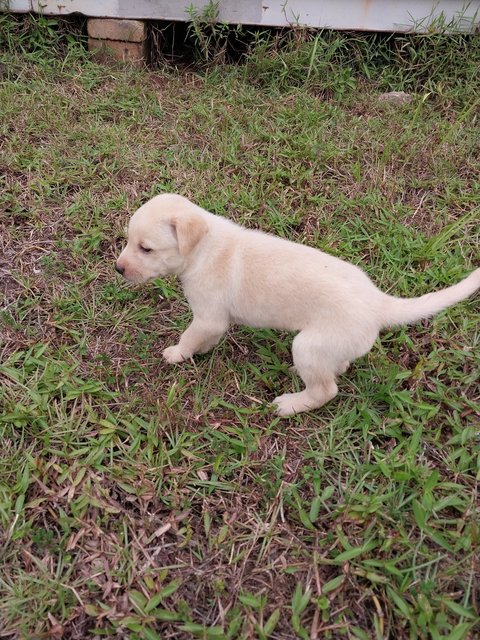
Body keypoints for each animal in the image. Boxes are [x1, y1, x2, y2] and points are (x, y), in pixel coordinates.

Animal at [116, 192, 480, 418]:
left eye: (146, 248)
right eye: (129, 241)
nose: (119, 269)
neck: (203, 246)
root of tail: (379, 302)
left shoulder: (208, 317)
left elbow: (191, 336)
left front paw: (177, 353)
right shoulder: (212, 319)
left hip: (309, 345)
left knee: (325, 391)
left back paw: (290, 405)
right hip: (329, 347)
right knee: (337, 367)